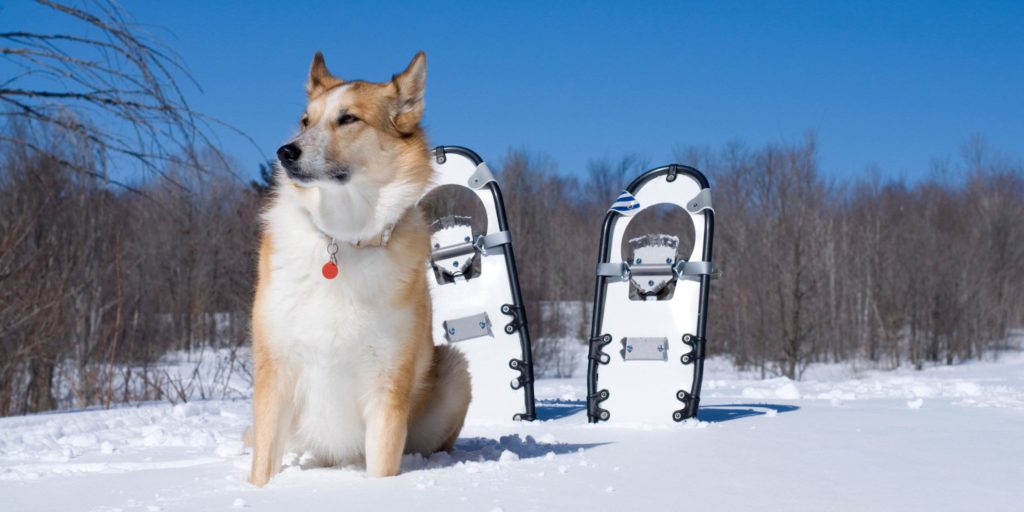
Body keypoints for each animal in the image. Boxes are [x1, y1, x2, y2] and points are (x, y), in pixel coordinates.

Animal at [247, 51, 471, 487]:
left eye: (349, 119)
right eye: (306, 120)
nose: (286, 153)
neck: (344, 239)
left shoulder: (386, 385)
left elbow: (382, 470)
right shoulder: (276, 371)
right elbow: (262, 468)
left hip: (455, 370)